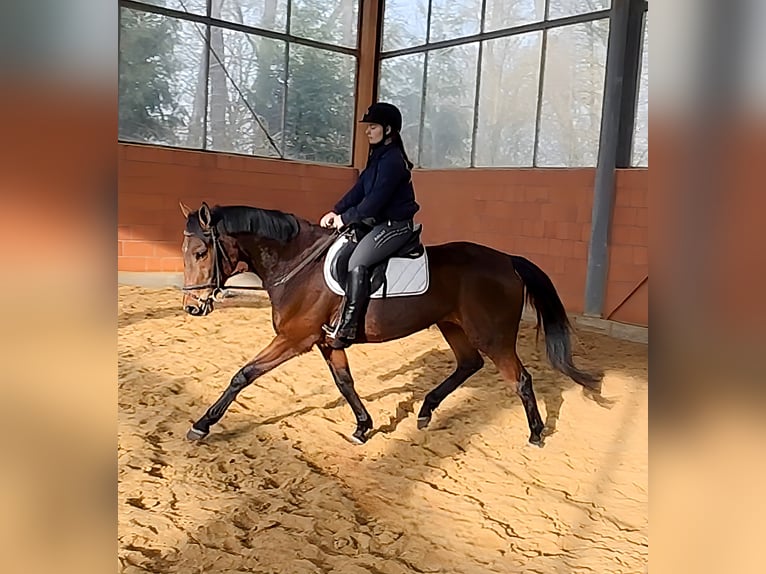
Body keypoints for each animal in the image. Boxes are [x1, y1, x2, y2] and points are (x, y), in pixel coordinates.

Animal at [179, 201, 602, 446]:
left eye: (200, 252)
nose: (192, 308)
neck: (298, 263)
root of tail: (507, 260)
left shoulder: (295, 338)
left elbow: (243, 374)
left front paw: (202, 424)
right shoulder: (327, 341)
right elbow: (345, 383)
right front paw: (363, 427)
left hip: (492, 336)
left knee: (520, 379)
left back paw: (536, 433)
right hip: (453, 326)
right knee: (469, 364)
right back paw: (427, 410)